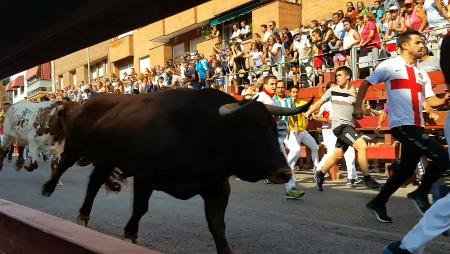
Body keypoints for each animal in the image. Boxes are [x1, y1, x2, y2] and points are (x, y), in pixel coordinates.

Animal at [42, 89, 312, 254]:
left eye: (275, 129)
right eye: (251, 133)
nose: (284, 172)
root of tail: (88, 103)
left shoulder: (217, 186)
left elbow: (217, 223)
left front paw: (226, 249)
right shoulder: (145, 176)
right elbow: (141, 208)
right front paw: (130, 234)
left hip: (107, 159)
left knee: (95, 182)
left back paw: (83, 215)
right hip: (77, 147)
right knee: (63, 165)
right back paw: (48, 189)